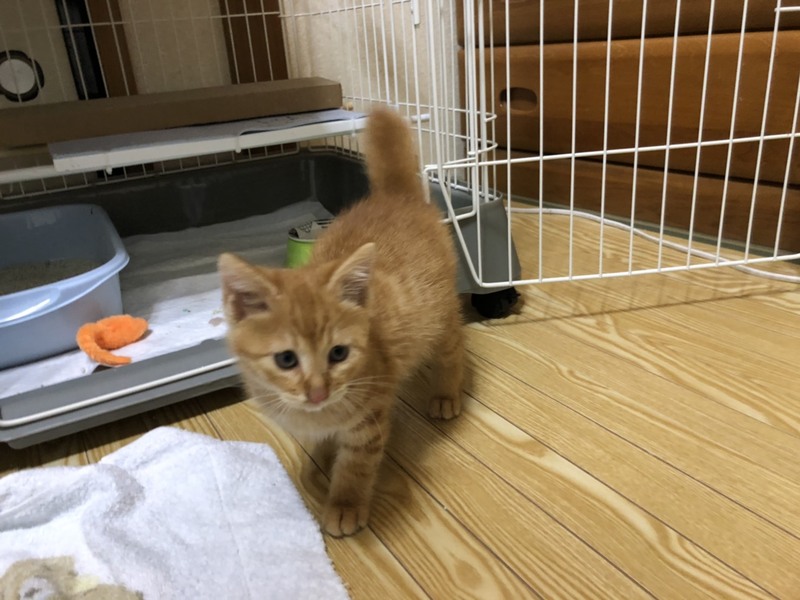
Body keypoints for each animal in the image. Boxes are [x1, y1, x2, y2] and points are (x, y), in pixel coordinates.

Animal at [217, 107, 464, 537]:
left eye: (338, 353)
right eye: (286, 359)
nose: (317, 392)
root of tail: (394, 197)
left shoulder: (370, 418)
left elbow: (356, 465)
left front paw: (345, 504)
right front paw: (319, 457)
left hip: (440, 314)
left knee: (453, 348)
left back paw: (446, 395)